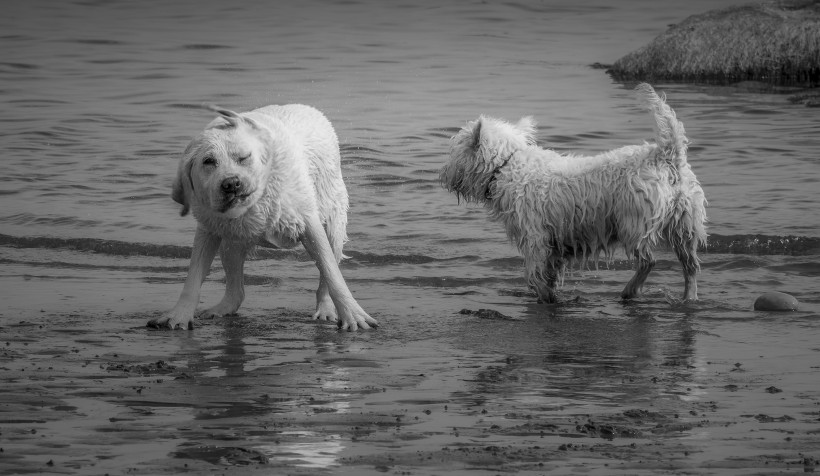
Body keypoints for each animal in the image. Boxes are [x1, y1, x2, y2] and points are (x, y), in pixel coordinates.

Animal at [149, 105, 376, 330]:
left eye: (244, 157)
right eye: (209, 161)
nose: (231, 184)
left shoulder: (308, 221)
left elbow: (331, 272)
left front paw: (353, 315)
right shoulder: (209, 224)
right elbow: (194, 274)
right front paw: (179, 315)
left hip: (333, 215)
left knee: (329, 260)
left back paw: (326, 309)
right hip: (232, 239)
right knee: (236, 285)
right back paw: (223, 307)